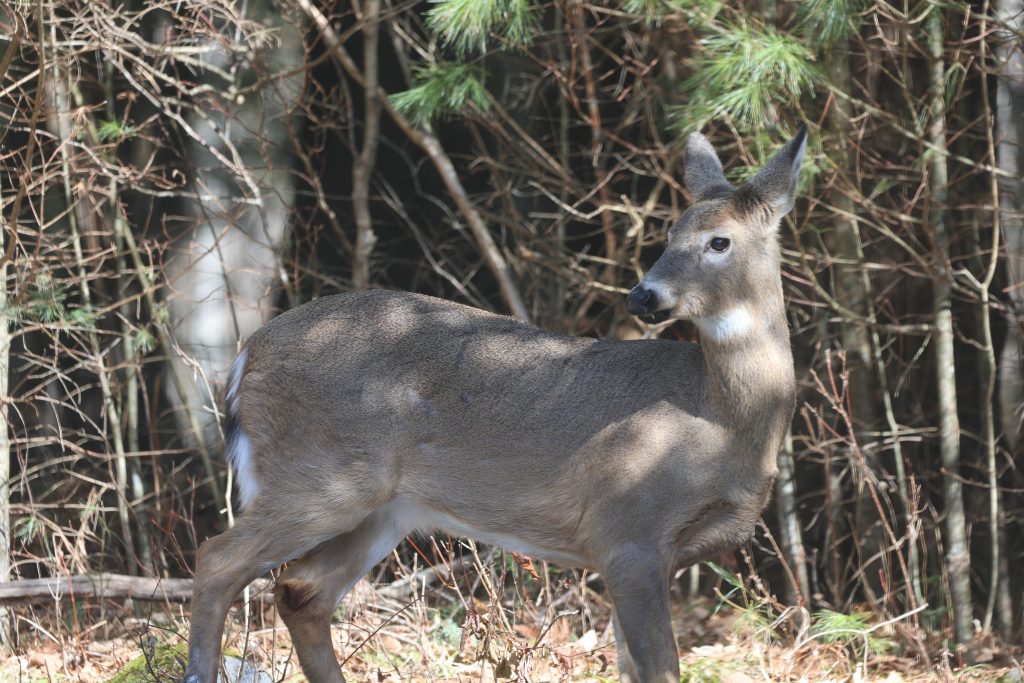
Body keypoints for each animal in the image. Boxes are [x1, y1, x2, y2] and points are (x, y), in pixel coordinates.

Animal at [183, 127, 805, 683]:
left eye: (719, 241)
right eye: (670, 233)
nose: (643, 295)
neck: (720, 423)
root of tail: (246, 355)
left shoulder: (656, 552)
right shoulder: (627, 529)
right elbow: (659, 668)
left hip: (385, 506)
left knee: (301, 590)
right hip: (320, 473)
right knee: (218, 559)